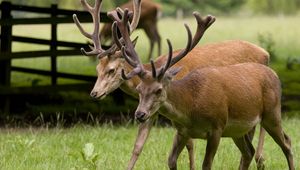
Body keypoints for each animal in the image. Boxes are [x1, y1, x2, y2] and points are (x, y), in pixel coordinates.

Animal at [73, 0, 270, 169]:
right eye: (98, 68)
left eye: (112, 70)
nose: (94, 93)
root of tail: (266, 54)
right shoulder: (151, 111)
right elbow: (138, 146)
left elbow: (190, 144)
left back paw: (260, 159)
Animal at [113, 10, 294, 170]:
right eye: (139, 89)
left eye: (158, 89)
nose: (139, 114)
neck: (190, 108)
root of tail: (274, 74)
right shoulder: (182, 131)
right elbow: (171, 160)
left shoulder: (217, 127)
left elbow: (206, 164)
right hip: (238, 130)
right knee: (249, 152)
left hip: (272, 113)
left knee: (287, 143)